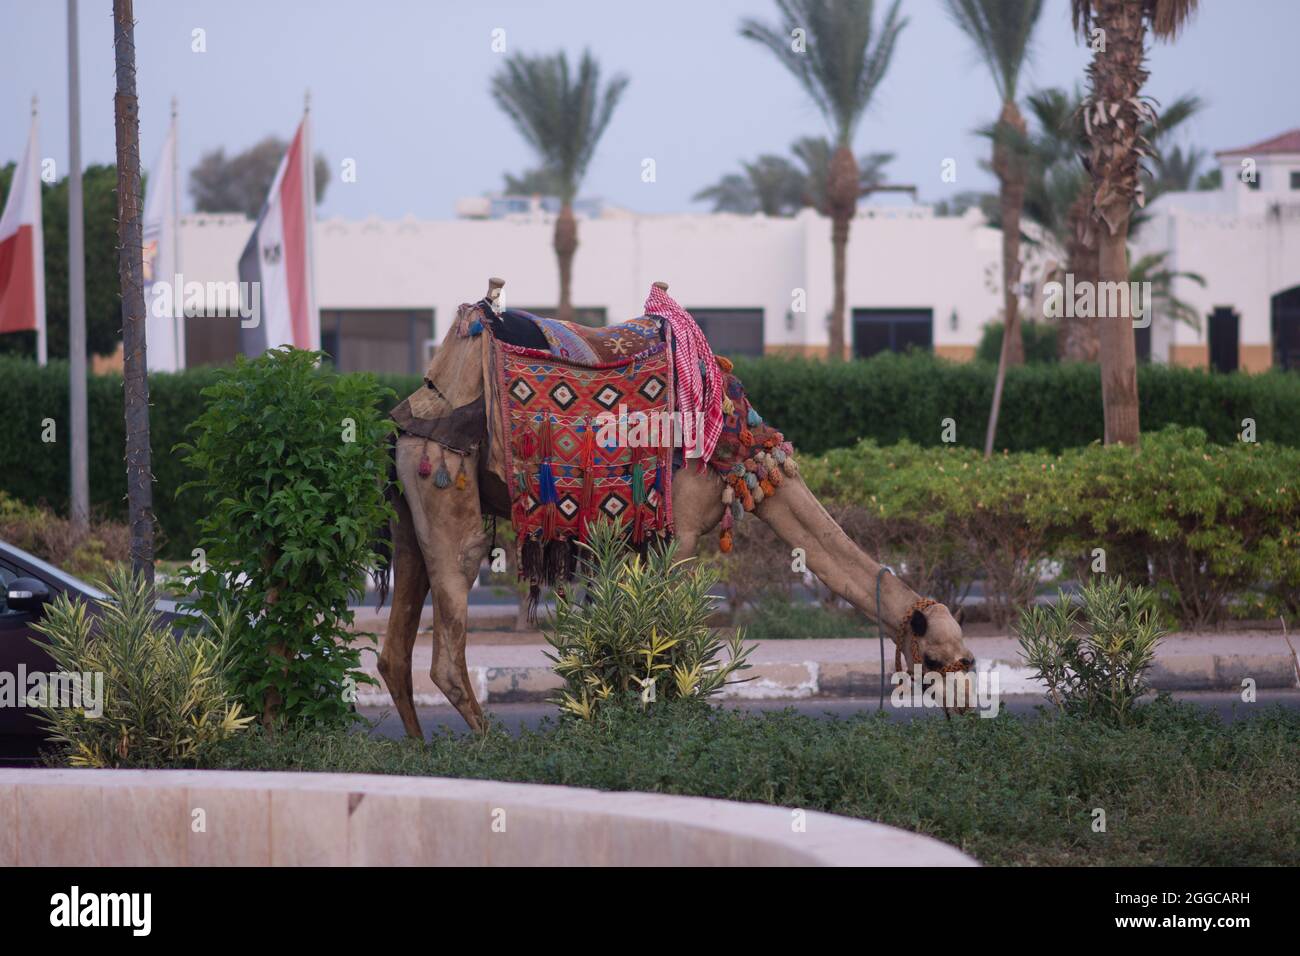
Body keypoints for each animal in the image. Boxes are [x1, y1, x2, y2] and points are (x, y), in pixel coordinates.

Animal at [377, 280, 977, 738]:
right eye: (935, 658)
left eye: (967, 658)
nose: (969, 709)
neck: (737, 447)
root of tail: (412, 412)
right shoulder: (683, 531)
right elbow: (671, 638)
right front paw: (668, 721)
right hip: (446, 484)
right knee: (447, 644)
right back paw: (493, 750)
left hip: (410, 512)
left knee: (394, 653)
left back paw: (421, 755)